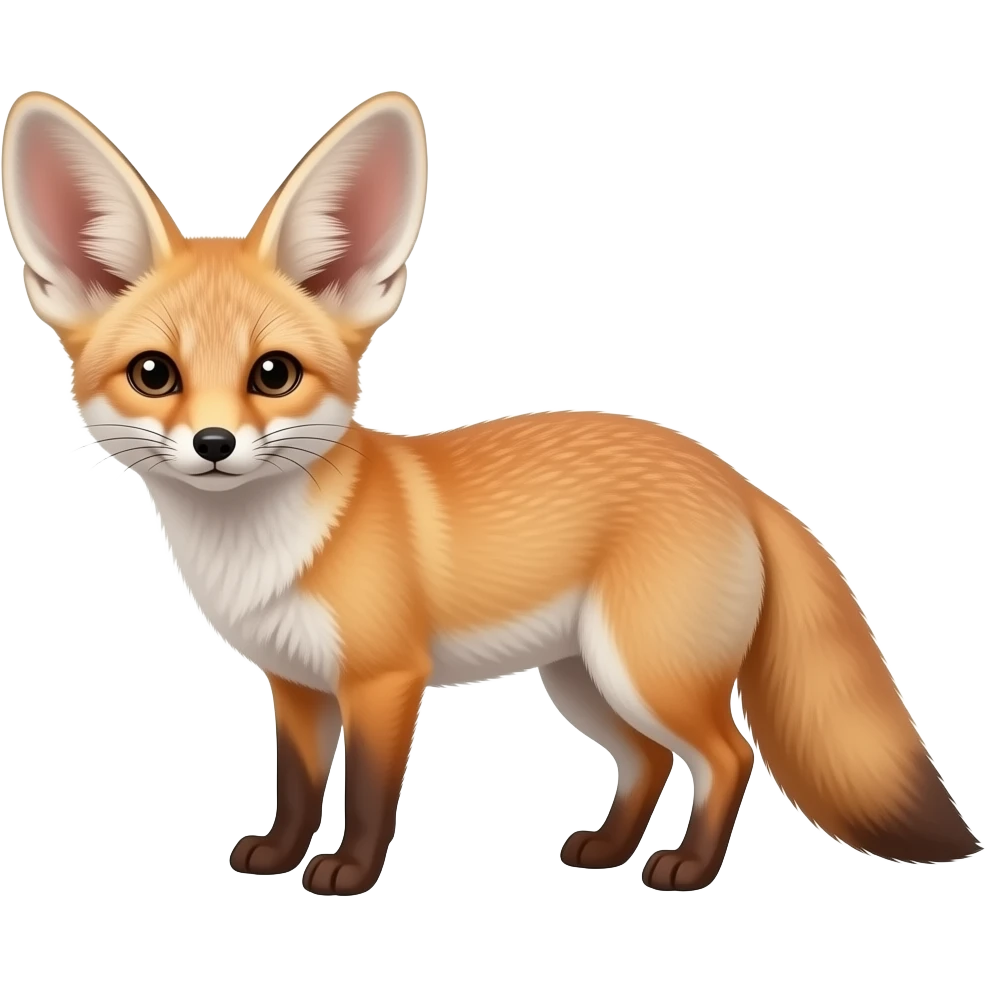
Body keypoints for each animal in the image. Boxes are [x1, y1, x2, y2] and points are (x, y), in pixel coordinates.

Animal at [2, 88, 980, 897]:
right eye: (154, 374)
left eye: (272, 374)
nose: (213, 445)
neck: (268, 550)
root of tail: (734, 477)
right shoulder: (297, 684)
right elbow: (296, 785)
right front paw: (277, 856)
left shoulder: (385, 679)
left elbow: (368, 792)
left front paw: (349, 874)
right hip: (582, 678)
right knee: (649, 762)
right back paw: (607, 849)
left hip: (644, 672)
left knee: (727, 754)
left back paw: (687, 869)